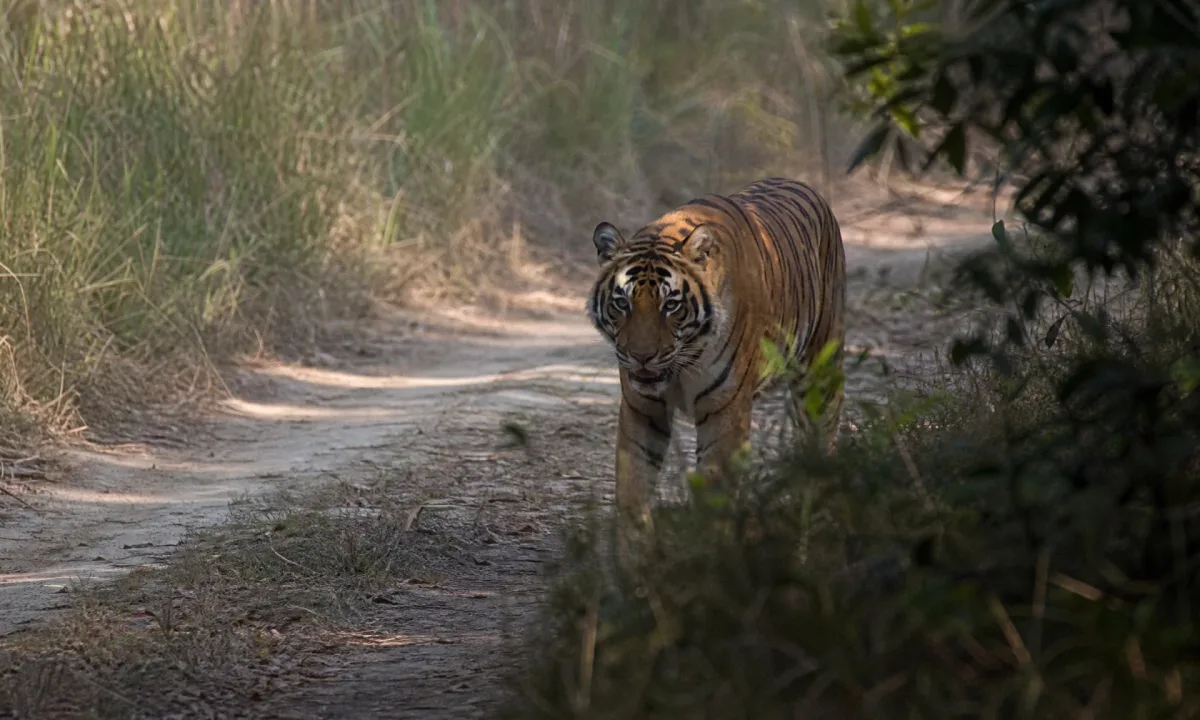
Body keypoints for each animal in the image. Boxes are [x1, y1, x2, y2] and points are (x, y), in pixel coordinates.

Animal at [587, 177, 847, 526]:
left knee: (822, 441)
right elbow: (633, 488)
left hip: (821, 372)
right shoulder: (643, 408)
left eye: (671, 305)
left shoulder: (726, 408)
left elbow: (714, 490)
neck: (682, 364)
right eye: (621, 302)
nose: (642, 357)